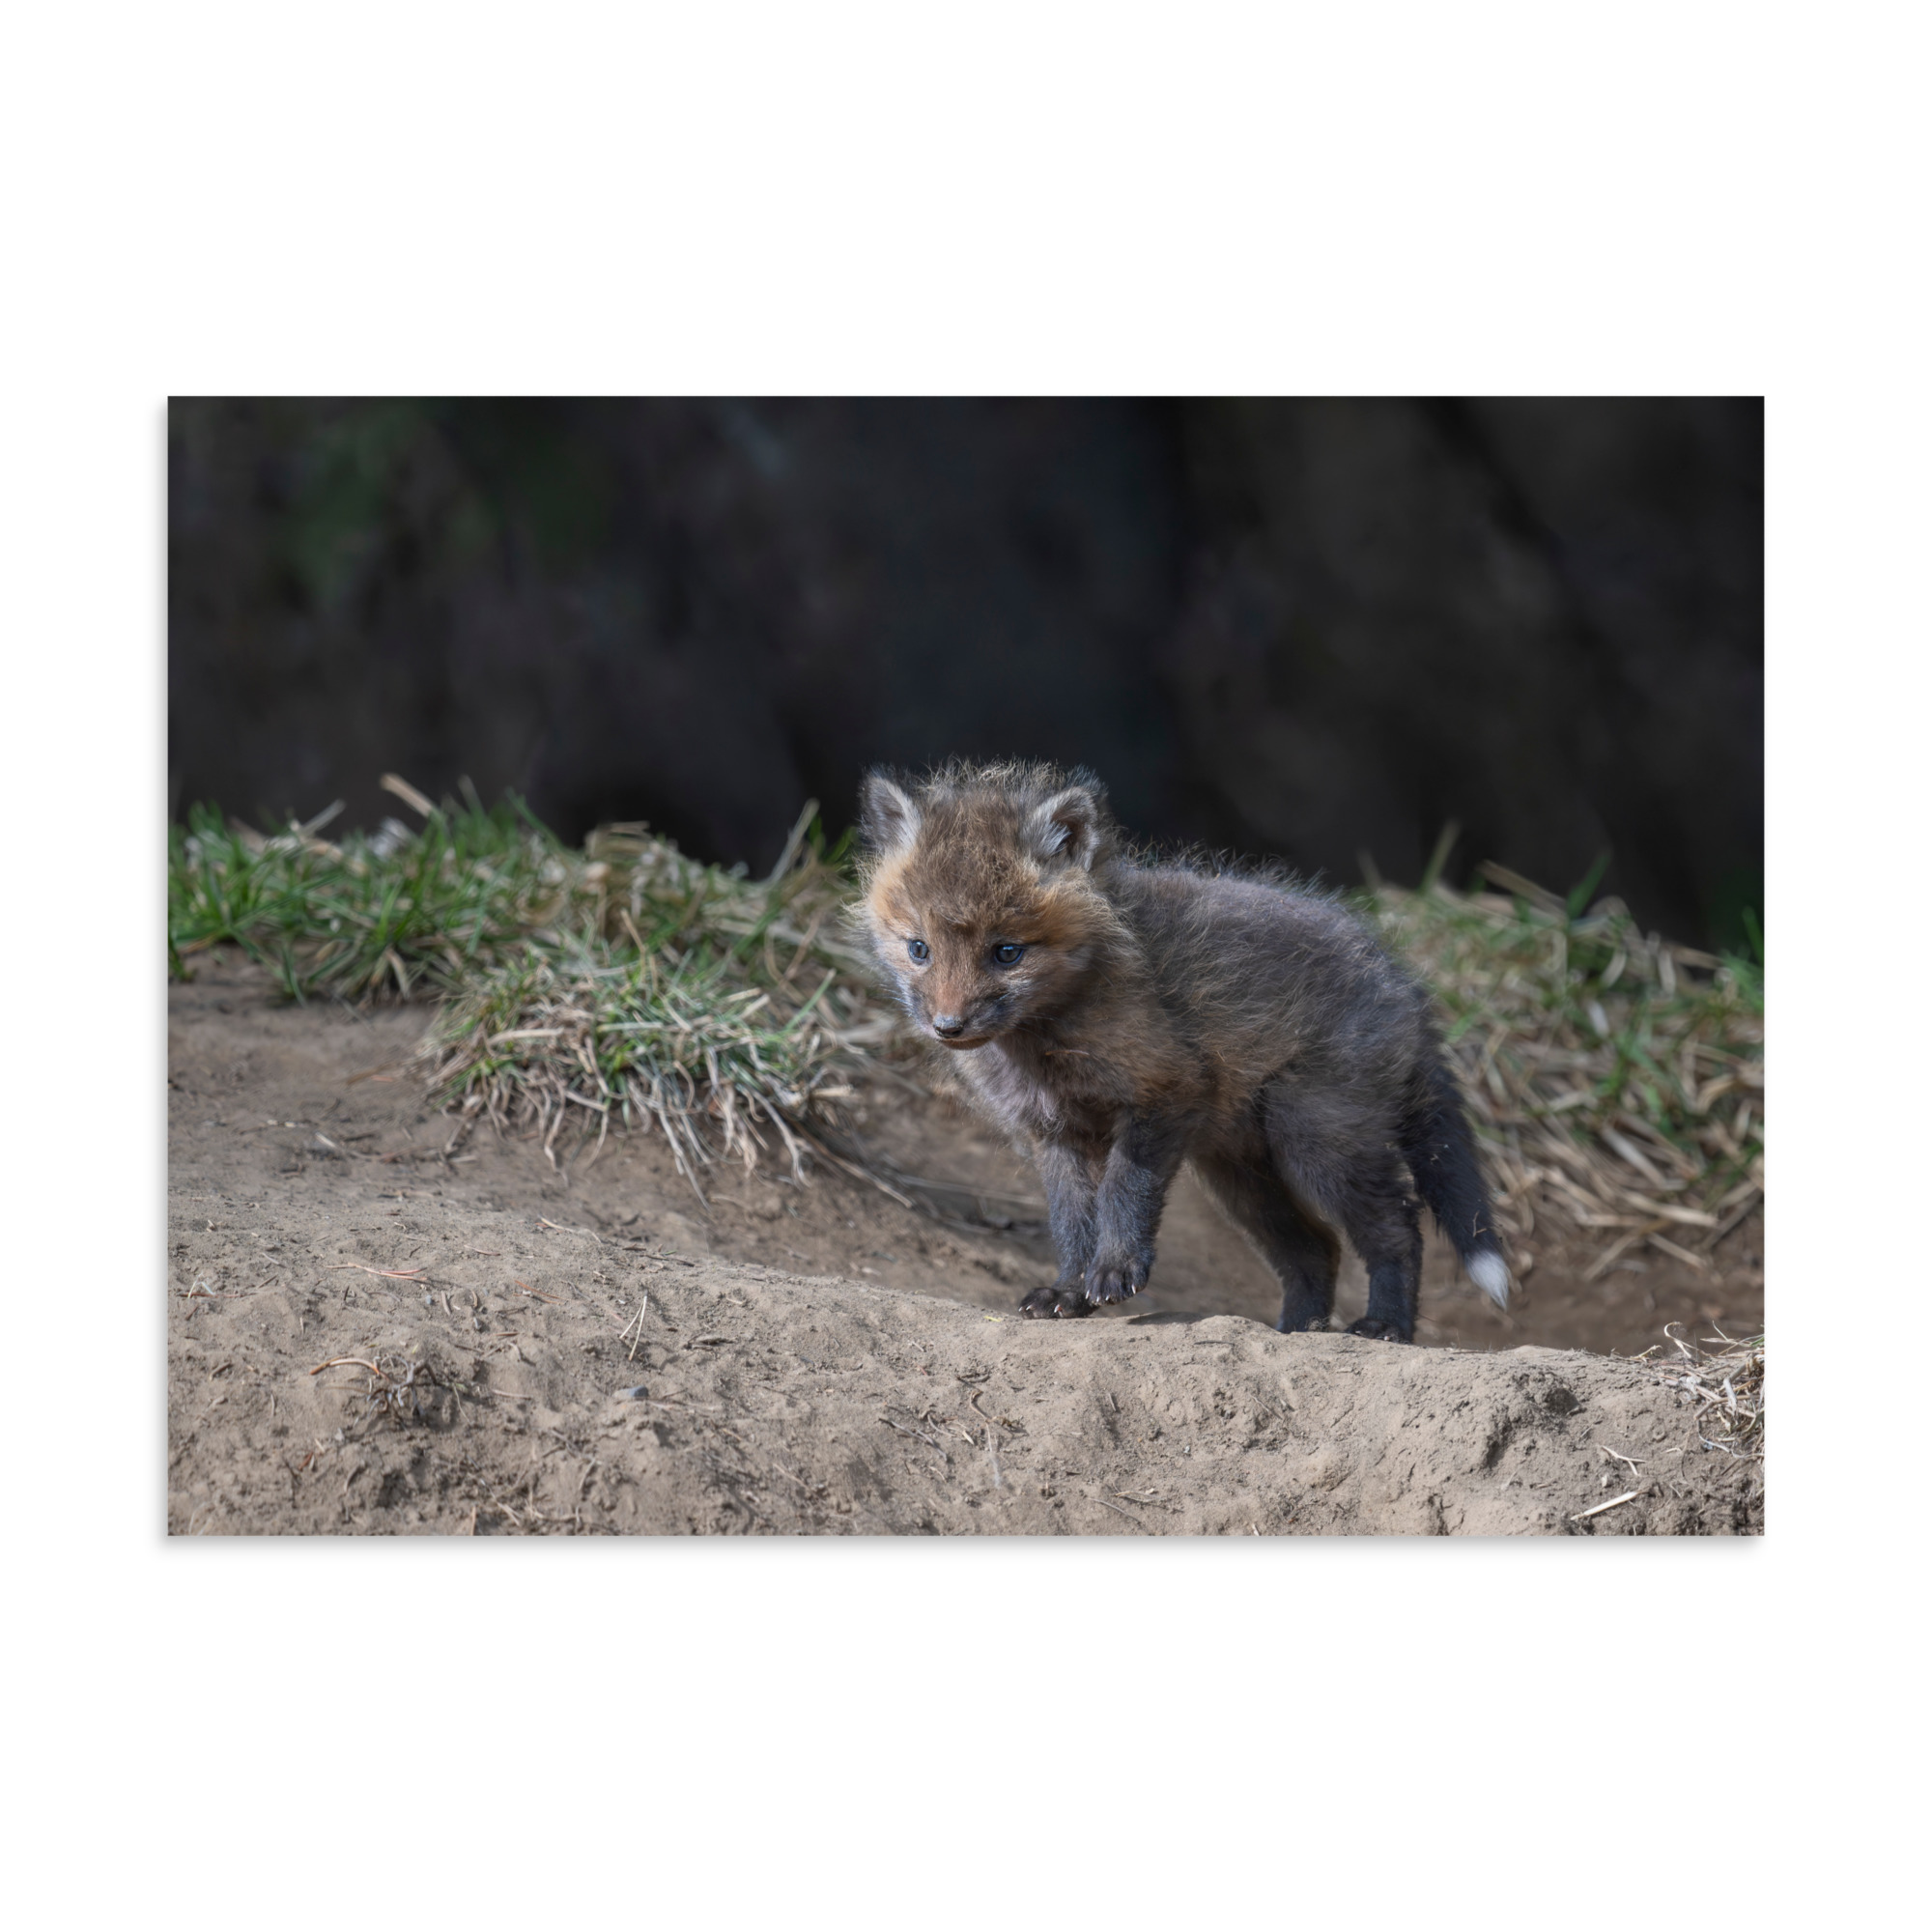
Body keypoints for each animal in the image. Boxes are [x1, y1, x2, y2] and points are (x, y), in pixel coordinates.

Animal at [854, 760, 1509, 1341]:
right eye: (919, 949)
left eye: (1007, 952)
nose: (948, 1026)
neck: (1047, 1043)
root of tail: (1404, 984)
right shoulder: (1056, 1132)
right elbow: (1071, 1222)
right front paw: (1069, 1291)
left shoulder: (1165, 1091)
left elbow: (1124, 1192)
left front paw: (1115, 1271)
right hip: (1240, 1174)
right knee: (1316, 1249)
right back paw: (1296, 1331)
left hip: (1317, 1140)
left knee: (1398, 1227)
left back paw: (1385, 1326)